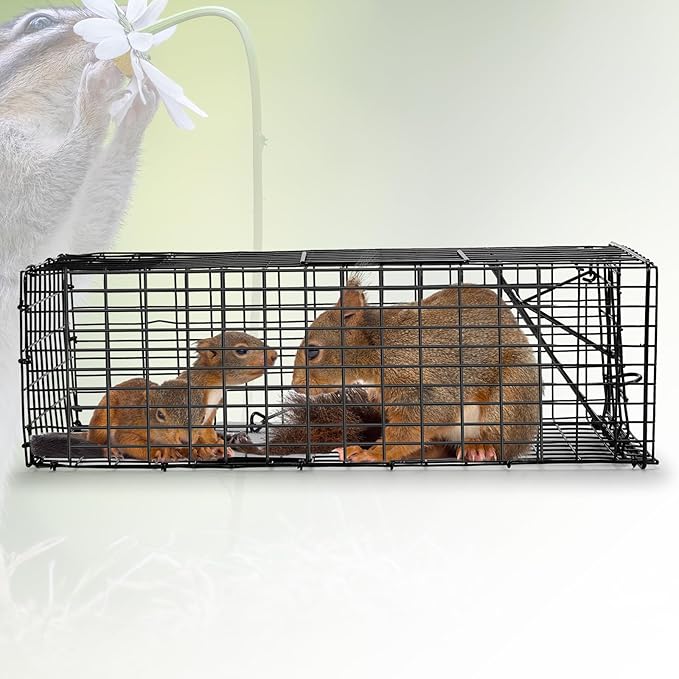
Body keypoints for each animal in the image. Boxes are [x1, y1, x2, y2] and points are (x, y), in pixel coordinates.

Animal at [87, 331, 277, 461]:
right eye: (242, 350)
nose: (274, 355)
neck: (215, 384)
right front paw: (199, 450)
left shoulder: (207, 417)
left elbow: (208, 433)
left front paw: (219, 446)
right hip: (103, 418)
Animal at [292, 277, 541, 463]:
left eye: (313, 352)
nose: (295, 386)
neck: (377, 347)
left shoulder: (420, 384)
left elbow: (415, 423)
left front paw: (371, 454)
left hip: (511, 396)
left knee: (501, 441)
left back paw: (480, 447)